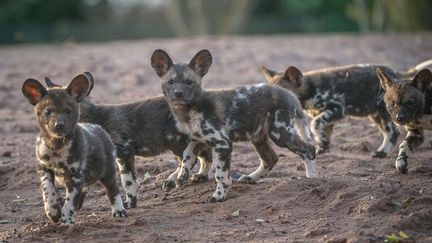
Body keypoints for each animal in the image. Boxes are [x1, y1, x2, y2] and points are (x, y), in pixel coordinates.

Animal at [22, 73, 126, 224]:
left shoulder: (75, 176)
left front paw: (67, 221)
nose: (59, 125)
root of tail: (97, 127)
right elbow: (48, 190)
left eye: (68, 111)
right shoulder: (44, 168)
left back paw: (119, 211)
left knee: (113, 190)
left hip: (107, 172)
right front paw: (53, 211)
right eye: (47, 111)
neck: (56, 146)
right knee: (82, 195)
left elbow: (70, 201)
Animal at [44, 71, 212, 207]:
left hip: (174, 141)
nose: (54, 125)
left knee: (193, 155)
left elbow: (127, 183)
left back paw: (180, 177)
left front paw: (130, 204)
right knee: (202, 154)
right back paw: (197, 176)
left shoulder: (123, 152)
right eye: (47, 110)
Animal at [152, 49, 318, 201]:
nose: (178, 93)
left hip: (280, 134)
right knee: (270, 158)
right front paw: (182, 175)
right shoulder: (196, 138)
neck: (187, 113)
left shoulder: (223, 143)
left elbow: (221, 175)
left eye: (188, 82)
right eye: (170, 82)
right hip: (258, 137)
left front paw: (219, 195)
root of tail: (289, 93)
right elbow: (187, 155)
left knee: (308, 149)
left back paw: (312, 179)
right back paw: (252, 178)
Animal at [262, 59, 432, 157]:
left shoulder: (336, 110)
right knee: (389, 132)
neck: (309, 89)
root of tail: (399, 75)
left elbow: (314, 125)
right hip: (375, 115)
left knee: (393, 133)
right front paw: (323, 148)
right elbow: (323, 133)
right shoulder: (327, 117)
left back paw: (381, 153)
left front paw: (322, 145)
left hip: (385, 114)